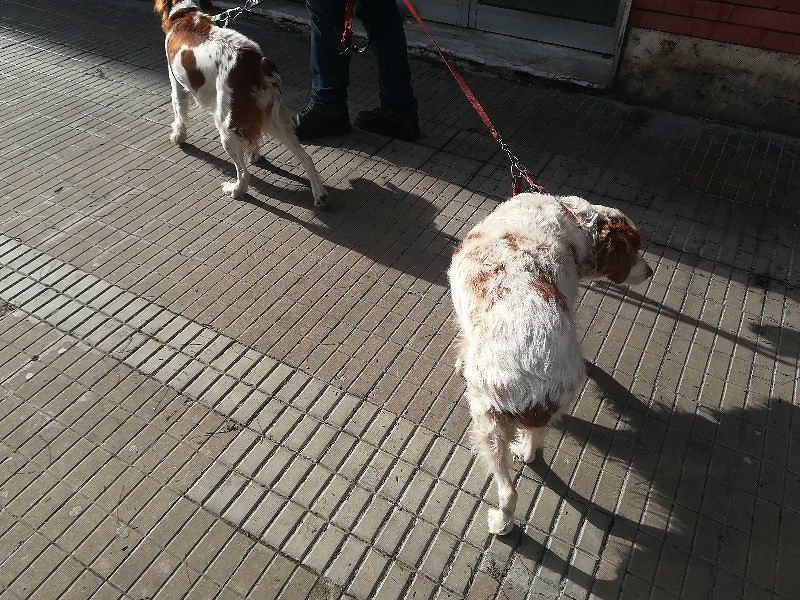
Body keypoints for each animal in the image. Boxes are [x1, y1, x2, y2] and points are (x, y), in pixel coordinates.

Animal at [153, 0, 327, 206]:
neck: (184, 13)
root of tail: (257, 64)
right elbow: (253, 140)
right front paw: (255, 154)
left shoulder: (176, 84)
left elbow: (179, 113)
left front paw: (178, 136)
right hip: (277, 120)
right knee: (306, 157)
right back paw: (320, 194)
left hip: (226, 126)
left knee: (243, 174)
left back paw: (235, 190)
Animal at [448, 192, 653, 534]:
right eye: (634, 248)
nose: (650, 272)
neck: (571, 221)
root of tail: (538, 379)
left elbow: (463, 343)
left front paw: (460, 364)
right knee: (535, 443)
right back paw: (525, 452)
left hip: (486, 420)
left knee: (509, 490)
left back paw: (501, 522)